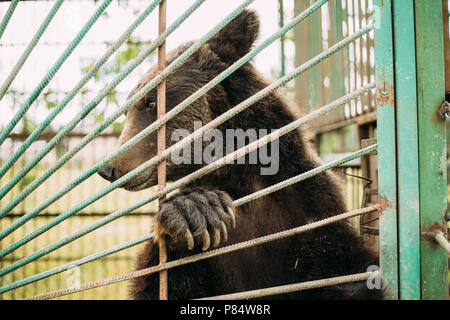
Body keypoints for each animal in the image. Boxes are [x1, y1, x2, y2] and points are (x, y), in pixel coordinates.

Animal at [96, 10, 382, 300]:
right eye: (127, 110)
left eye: (151, 102)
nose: (108, 168)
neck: (240, 173)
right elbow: (166, 282)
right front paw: (193, 210)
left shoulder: (310, 207)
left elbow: (345, 270)